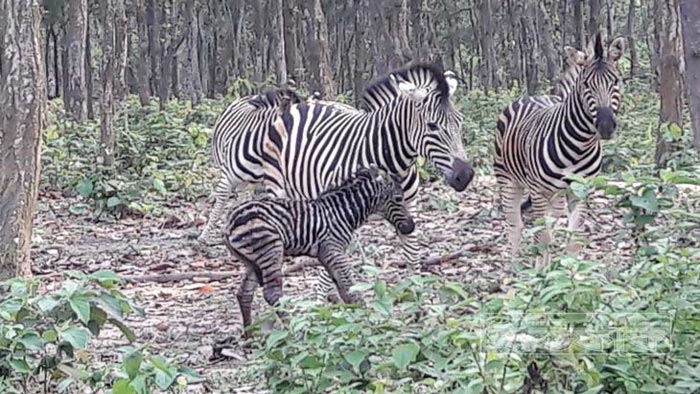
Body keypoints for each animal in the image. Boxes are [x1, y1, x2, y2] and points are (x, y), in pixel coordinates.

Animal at [223, 166, 416, 336]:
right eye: (398, 198)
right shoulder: (334, 249)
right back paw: (293, 332)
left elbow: (343, 289)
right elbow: (349, 289)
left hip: (254, 261)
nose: (411, 227)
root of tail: (230, 223)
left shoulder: (326, 254)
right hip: (271, 251)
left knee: (244, 294)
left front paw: (355, 319)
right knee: (272, 294)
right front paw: (367, 319)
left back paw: (250, 336)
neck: (343, 213)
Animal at [264, 63, 476, 300]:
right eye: (432, 126)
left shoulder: (407, 206)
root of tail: (303, 105)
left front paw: (416, 294)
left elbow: (412, 254)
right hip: (276, 187)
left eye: (460, 121)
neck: (392, 162)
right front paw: (324, 302)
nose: (465, 175)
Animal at [494, 32, 628, 266]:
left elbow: (573, 238)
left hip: (555, 196)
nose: (605, 126)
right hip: (508, 180)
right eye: (586, 84)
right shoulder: (538, 191)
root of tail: (532, 95)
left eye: (615, 81)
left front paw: (570, 271)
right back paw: (513, 269)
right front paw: (541, 272)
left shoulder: (580, 191)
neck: (579, 146)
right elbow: (541, 237)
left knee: (549, 223)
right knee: (516, 225)